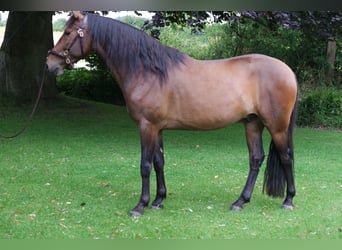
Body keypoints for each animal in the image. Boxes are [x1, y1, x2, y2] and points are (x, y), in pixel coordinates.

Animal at [46, 10, 298, 216]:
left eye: (67, 32)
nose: (50, 63)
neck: (148, 72)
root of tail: (288, 71)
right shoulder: (157, 128)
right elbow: (159, 162)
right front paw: (158, 201)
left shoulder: (146, 126)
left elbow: (145, 165)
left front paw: (140, 206)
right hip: (252, 123)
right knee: (255, 159)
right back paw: (240, 202)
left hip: (277, 126)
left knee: (286, 157)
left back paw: (288, 200)